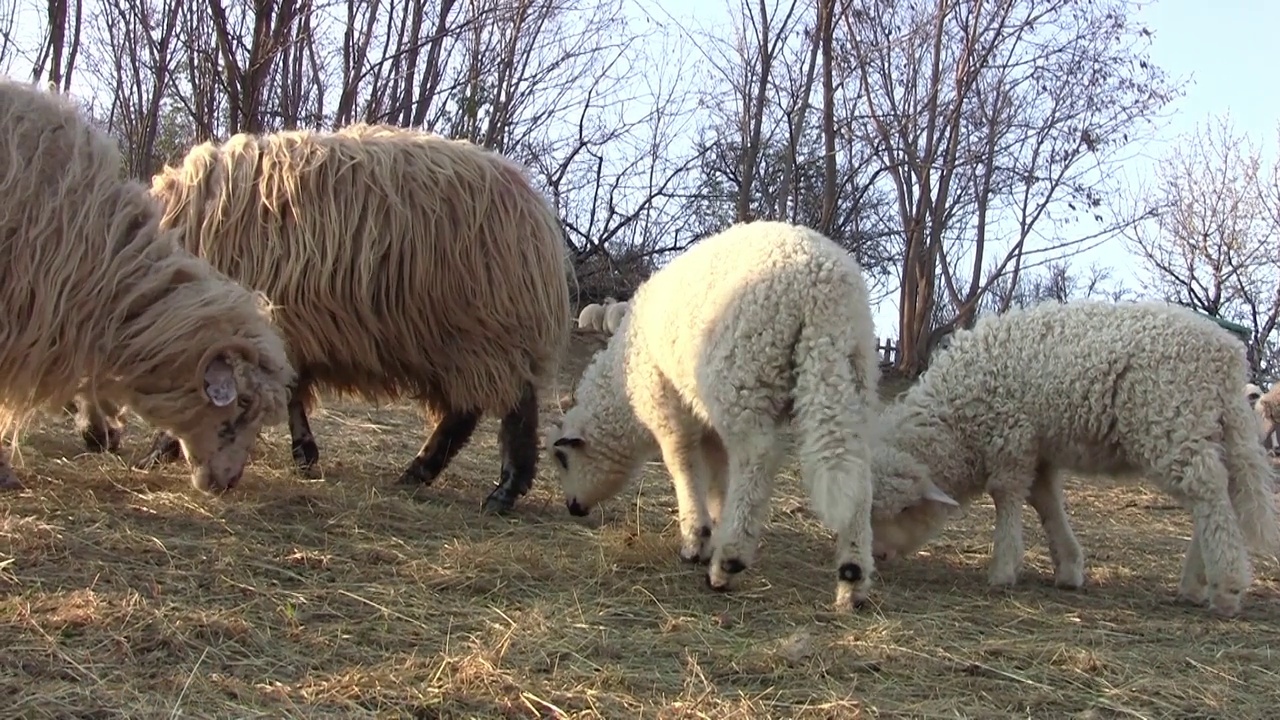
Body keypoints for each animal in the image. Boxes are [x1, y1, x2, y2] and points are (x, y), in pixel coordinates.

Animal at [72, 124, 568, 515]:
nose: (96, 442)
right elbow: (291, 394)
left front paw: (162, 449)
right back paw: (424, 474)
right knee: (471, 412)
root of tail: (537, 209)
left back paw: (498, 488)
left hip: (487, 332)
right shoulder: (283, 331)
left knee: (509, 409)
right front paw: (304, 455)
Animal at [547, 220, 890, 609]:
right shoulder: (707, 418)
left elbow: (681, 461)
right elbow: (717, 472)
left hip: (743, 372)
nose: (573, 507)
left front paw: (696, 538)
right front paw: (714, 518)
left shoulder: (666, 404)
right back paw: (852, 578)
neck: (623, 385)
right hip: (848, 372)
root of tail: (824, 288)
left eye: (562, 459)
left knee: (757, 458)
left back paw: (728, 561)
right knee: (852, 466)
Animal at [870, 297, 1280, 617]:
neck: (955, 422)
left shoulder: (1011, 435)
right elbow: (1045, 502)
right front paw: (1068, 568)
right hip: (1205, 428)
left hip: (1173, 421)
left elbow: (1006, 495)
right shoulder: (1038, 448)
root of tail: (1227, 356)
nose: (878, 556)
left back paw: (1225, 588)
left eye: (904, 510)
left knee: (1209, 495)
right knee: (1214, 496)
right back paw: (1195, 585)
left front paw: (1003, 569)